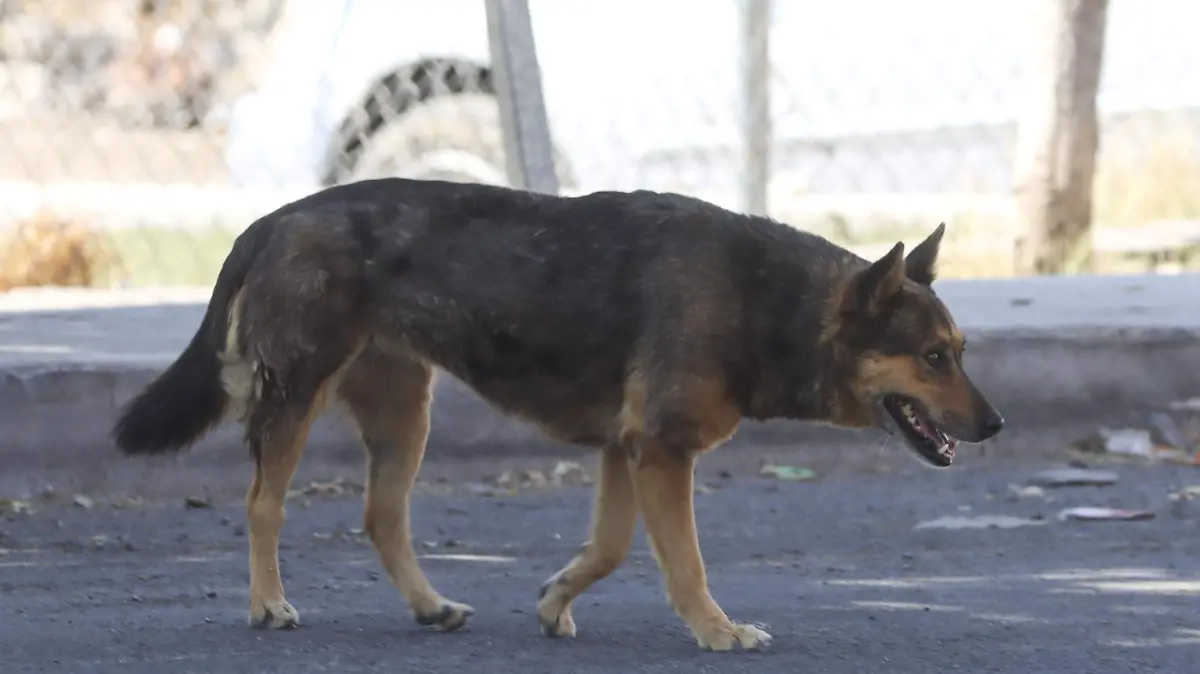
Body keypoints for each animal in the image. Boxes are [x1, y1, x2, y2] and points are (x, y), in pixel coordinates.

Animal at [112, 176, 1003, 647]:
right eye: (934, 357)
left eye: (958, 350)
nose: (997, 427)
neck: (767, 301)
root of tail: (273, 217)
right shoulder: (660, 452)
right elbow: (685, 564)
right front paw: (716, 631)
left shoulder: (626, 451)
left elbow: (607, 550)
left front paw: (554, 600)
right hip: (298, 396)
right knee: (262, 503)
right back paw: (267, 604)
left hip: (405, 413)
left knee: (381, 516)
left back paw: (428, 605)